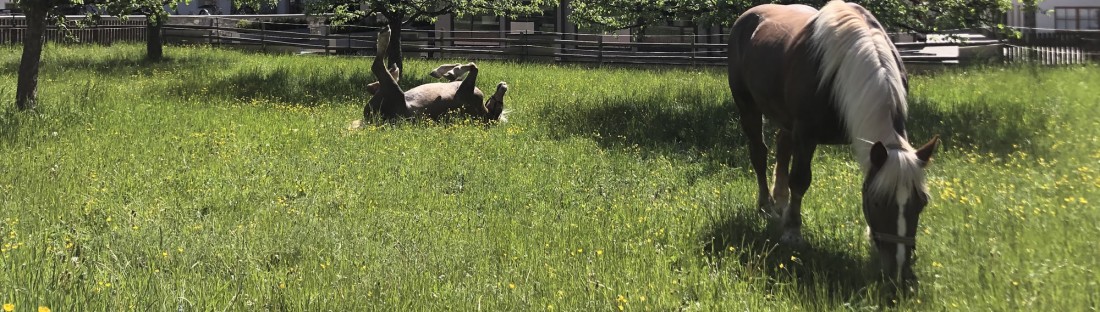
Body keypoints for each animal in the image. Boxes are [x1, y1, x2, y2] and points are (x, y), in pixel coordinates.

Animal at [365, 25, 510, 123]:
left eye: (499, 105)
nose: (504, 85)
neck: (485, 112)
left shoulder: (466, 89)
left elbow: (474, 67)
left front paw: (451, 71)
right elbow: (463, 69)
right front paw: (445, 71)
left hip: (393, 91)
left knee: (377, 67)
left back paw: (385, 35)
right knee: (372, 84)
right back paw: (394, 69)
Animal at [726, 1, 941, 285]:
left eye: (922, 202)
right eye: (877, 203)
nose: (899, 271)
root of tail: (748, 17)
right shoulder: (806, 134)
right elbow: (800, 180)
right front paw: (793, 232)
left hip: (785, 120)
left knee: (782, 149)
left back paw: (780, 202)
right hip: (748, 106)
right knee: (759, 155)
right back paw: (767, 206)